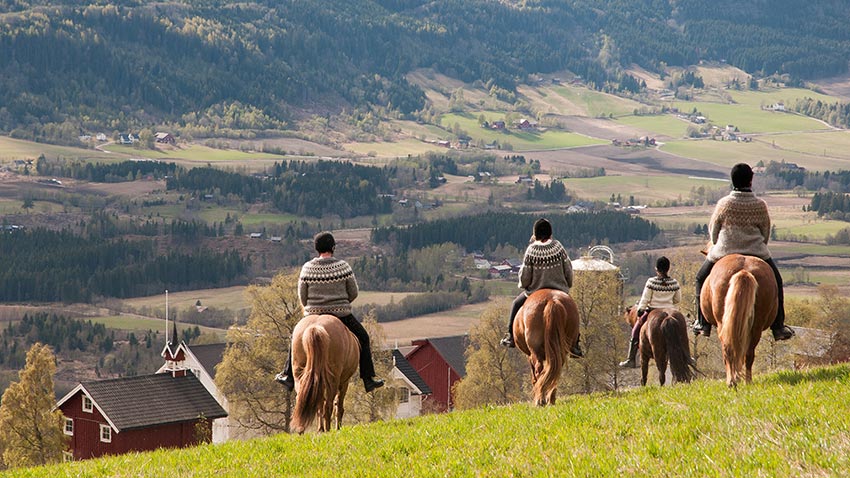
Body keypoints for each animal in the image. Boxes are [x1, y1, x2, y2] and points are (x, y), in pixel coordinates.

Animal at [700, 256, 780, 386]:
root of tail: (744, 271)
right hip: (756, 326)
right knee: (747, 353)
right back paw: (745, 381)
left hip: (722, 324)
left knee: (729, 349)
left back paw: (733, 381)